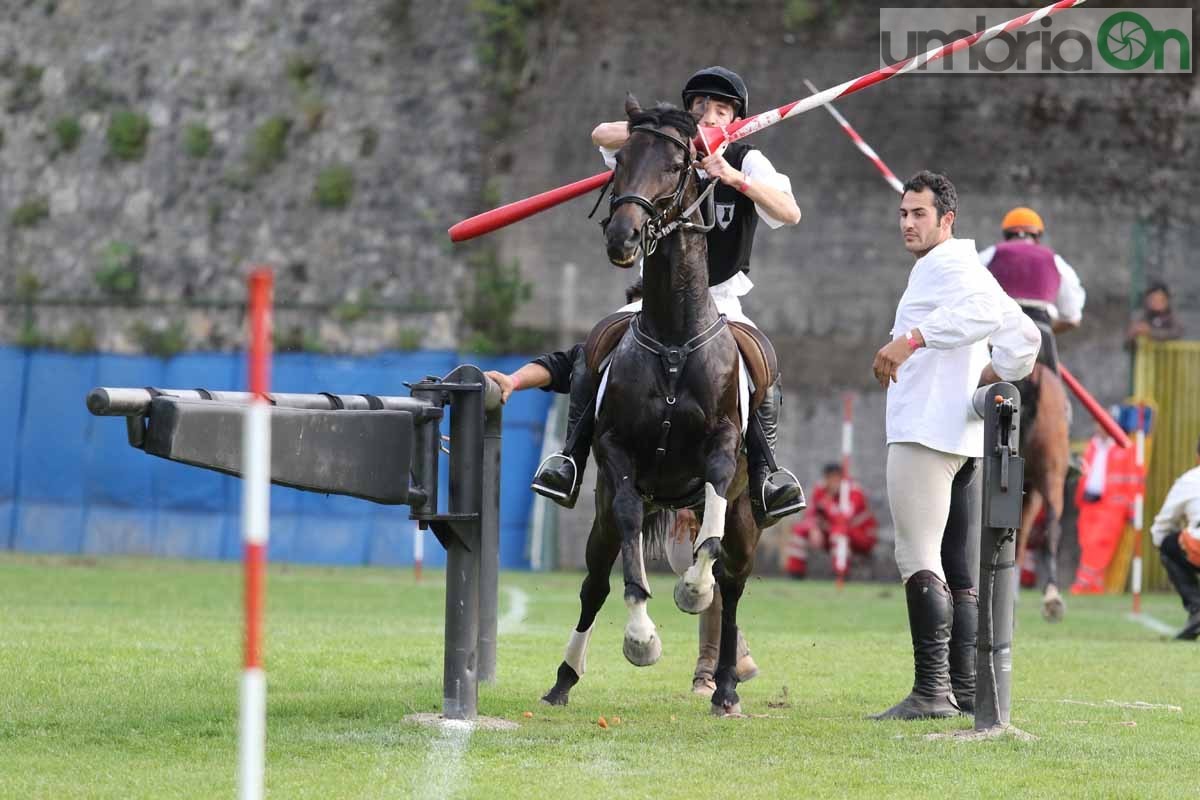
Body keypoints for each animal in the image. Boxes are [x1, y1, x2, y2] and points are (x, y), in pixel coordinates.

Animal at [542, 97, 763, 714]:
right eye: (619, 162)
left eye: (675, 166)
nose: (623, 236)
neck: (673, 337)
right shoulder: (618, 458)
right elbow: (626, 534)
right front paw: (641, 638)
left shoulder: (721, 446)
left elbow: (711, 529)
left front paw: (692, 588)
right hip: (598, 517)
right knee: (593, 584)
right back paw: (563, 679)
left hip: (749, 518)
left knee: (734, 585)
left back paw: (726, 687)